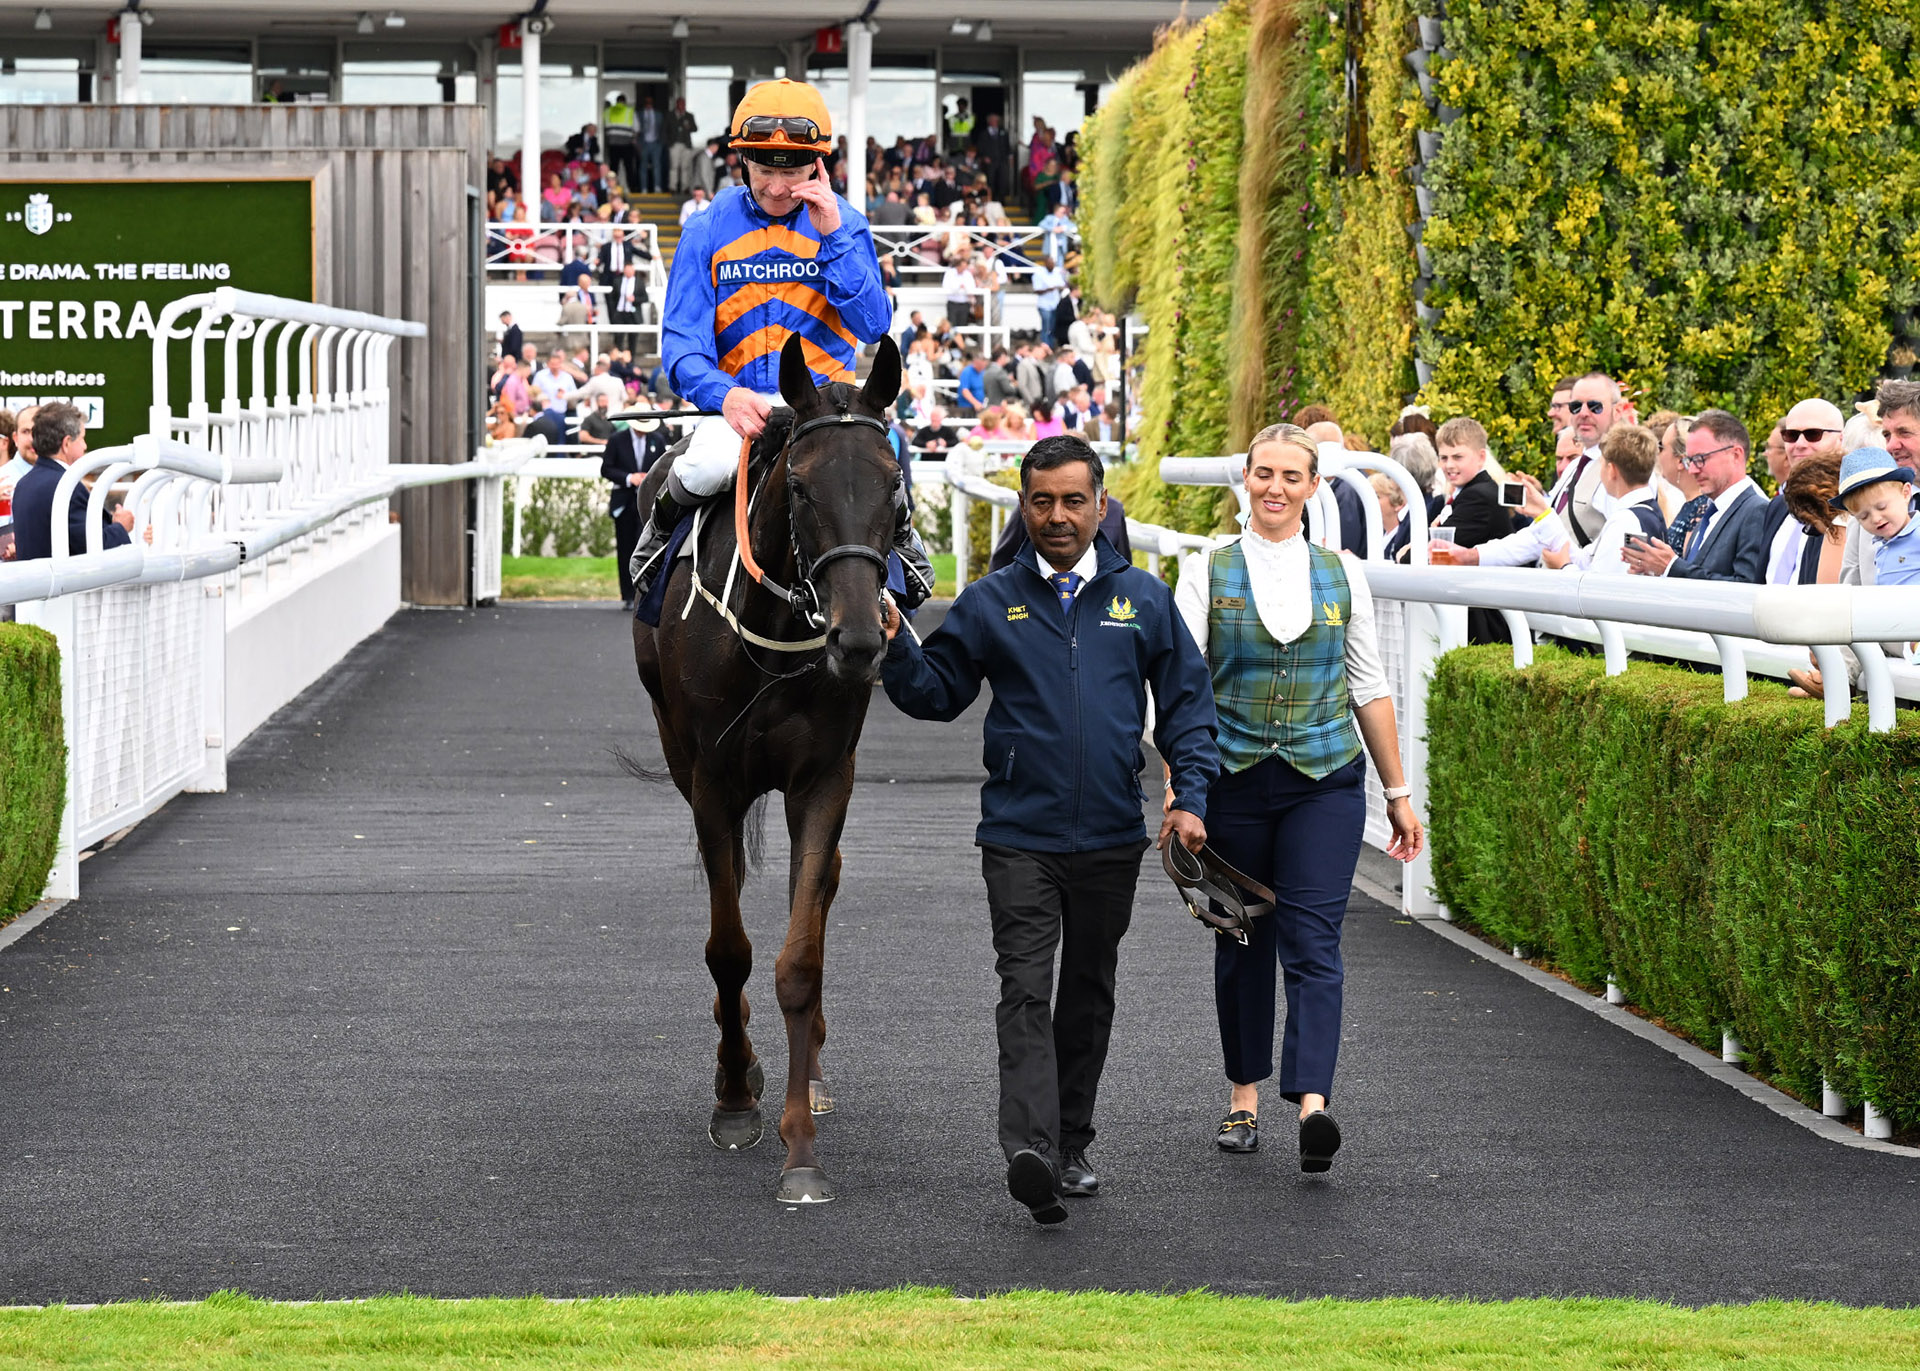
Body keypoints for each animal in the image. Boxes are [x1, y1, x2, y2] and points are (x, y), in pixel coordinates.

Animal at [631, 332, 904, 1204]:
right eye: (803, 487)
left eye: (894, 489)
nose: (859, 640)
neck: (778, 635)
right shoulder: (713, 781)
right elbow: (729, 949)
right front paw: (734, 1097)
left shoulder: (823, 778)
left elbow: (799, 955)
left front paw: (800, 1147)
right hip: (681, 758)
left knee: (810, 893)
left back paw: (805, 1070)